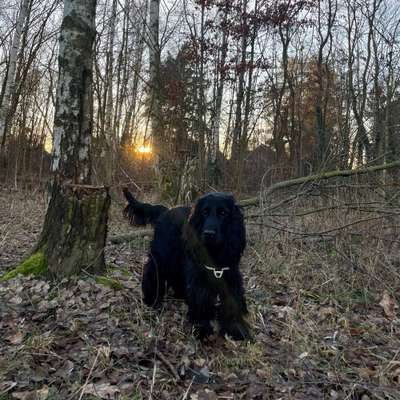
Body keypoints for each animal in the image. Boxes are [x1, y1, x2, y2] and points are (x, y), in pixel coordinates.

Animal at [136, 192, 252, 340]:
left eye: (223, 213)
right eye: (204, 212)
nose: (208, 233)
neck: (214, 252)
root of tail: (166, 211)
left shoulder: (230, 277)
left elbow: (233, 302)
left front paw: (235, 329)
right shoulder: (200, 278)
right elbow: (200, 300)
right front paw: (202, 327)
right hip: (163, 256)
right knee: (152, 273)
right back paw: (151, 299)